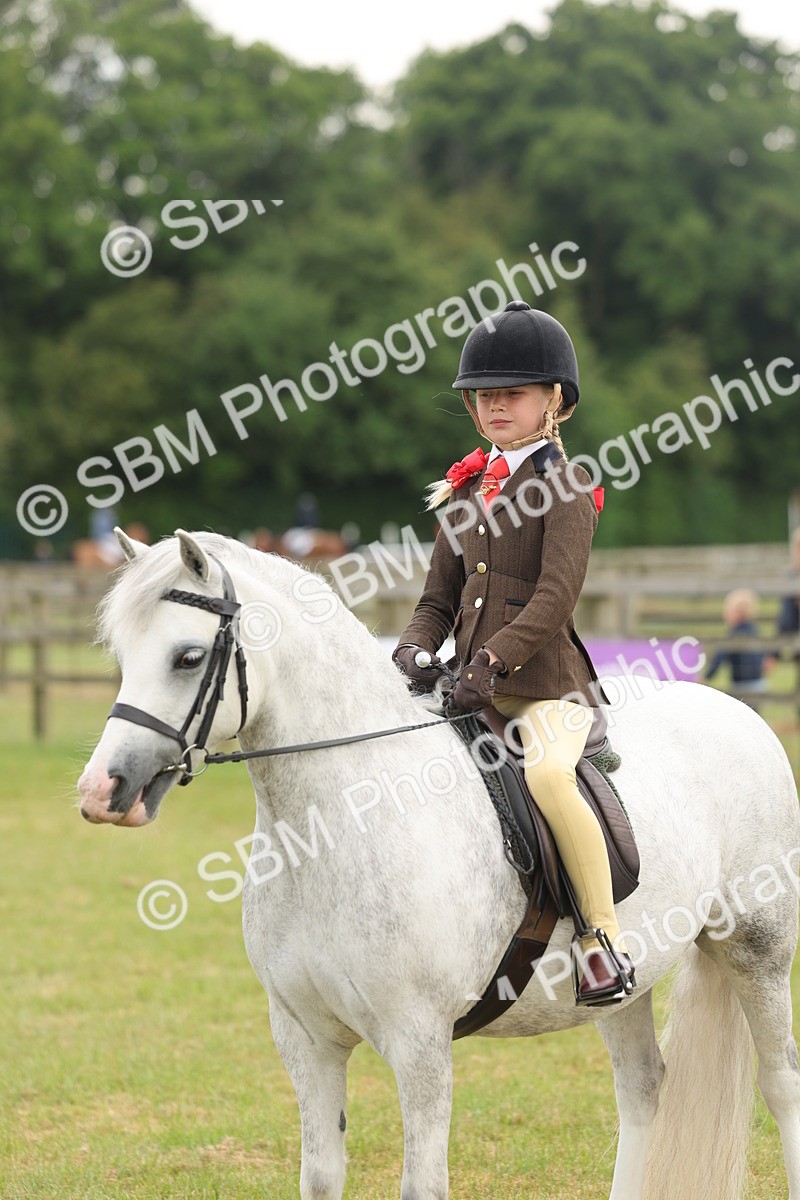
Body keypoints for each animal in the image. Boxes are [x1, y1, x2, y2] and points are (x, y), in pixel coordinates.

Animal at [77, 528, 800, 1200]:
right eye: (122, 655)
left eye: (188, 656)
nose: (102, 791)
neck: (337, 821)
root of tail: (740, 713)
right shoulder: (305, 1039)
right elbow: (321, 1176)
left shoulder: (419, 1042)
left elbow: (421, 1183)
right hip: (632, 974)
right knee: (642, 1087)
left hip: (757, 949)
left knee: (780, 1083)